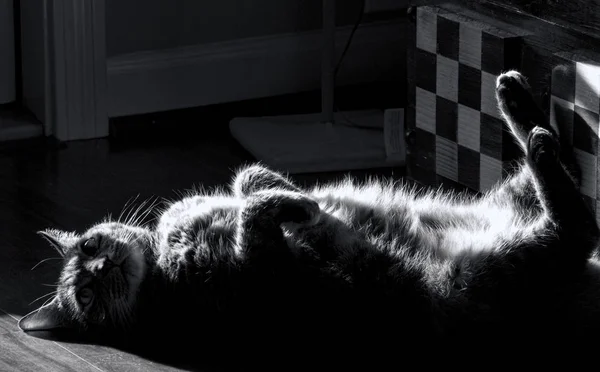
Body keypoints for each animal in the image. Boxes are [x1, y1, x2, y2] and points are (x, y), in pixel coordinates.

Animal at [18, 70, 600, 370]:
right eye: (86, 296)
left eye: (90, 247)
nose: (101, 269)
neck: (163, 259)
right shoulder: (260, 274)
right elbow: (257, 214)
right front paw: (303, 207)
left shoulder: (230, 203)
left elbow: (248, 178)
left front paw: (299, 193)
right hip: (494, 266)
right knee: (576, 220)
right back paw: (535, 132)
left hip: (507, 203)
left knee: (571, 176)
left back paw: (517, 97)